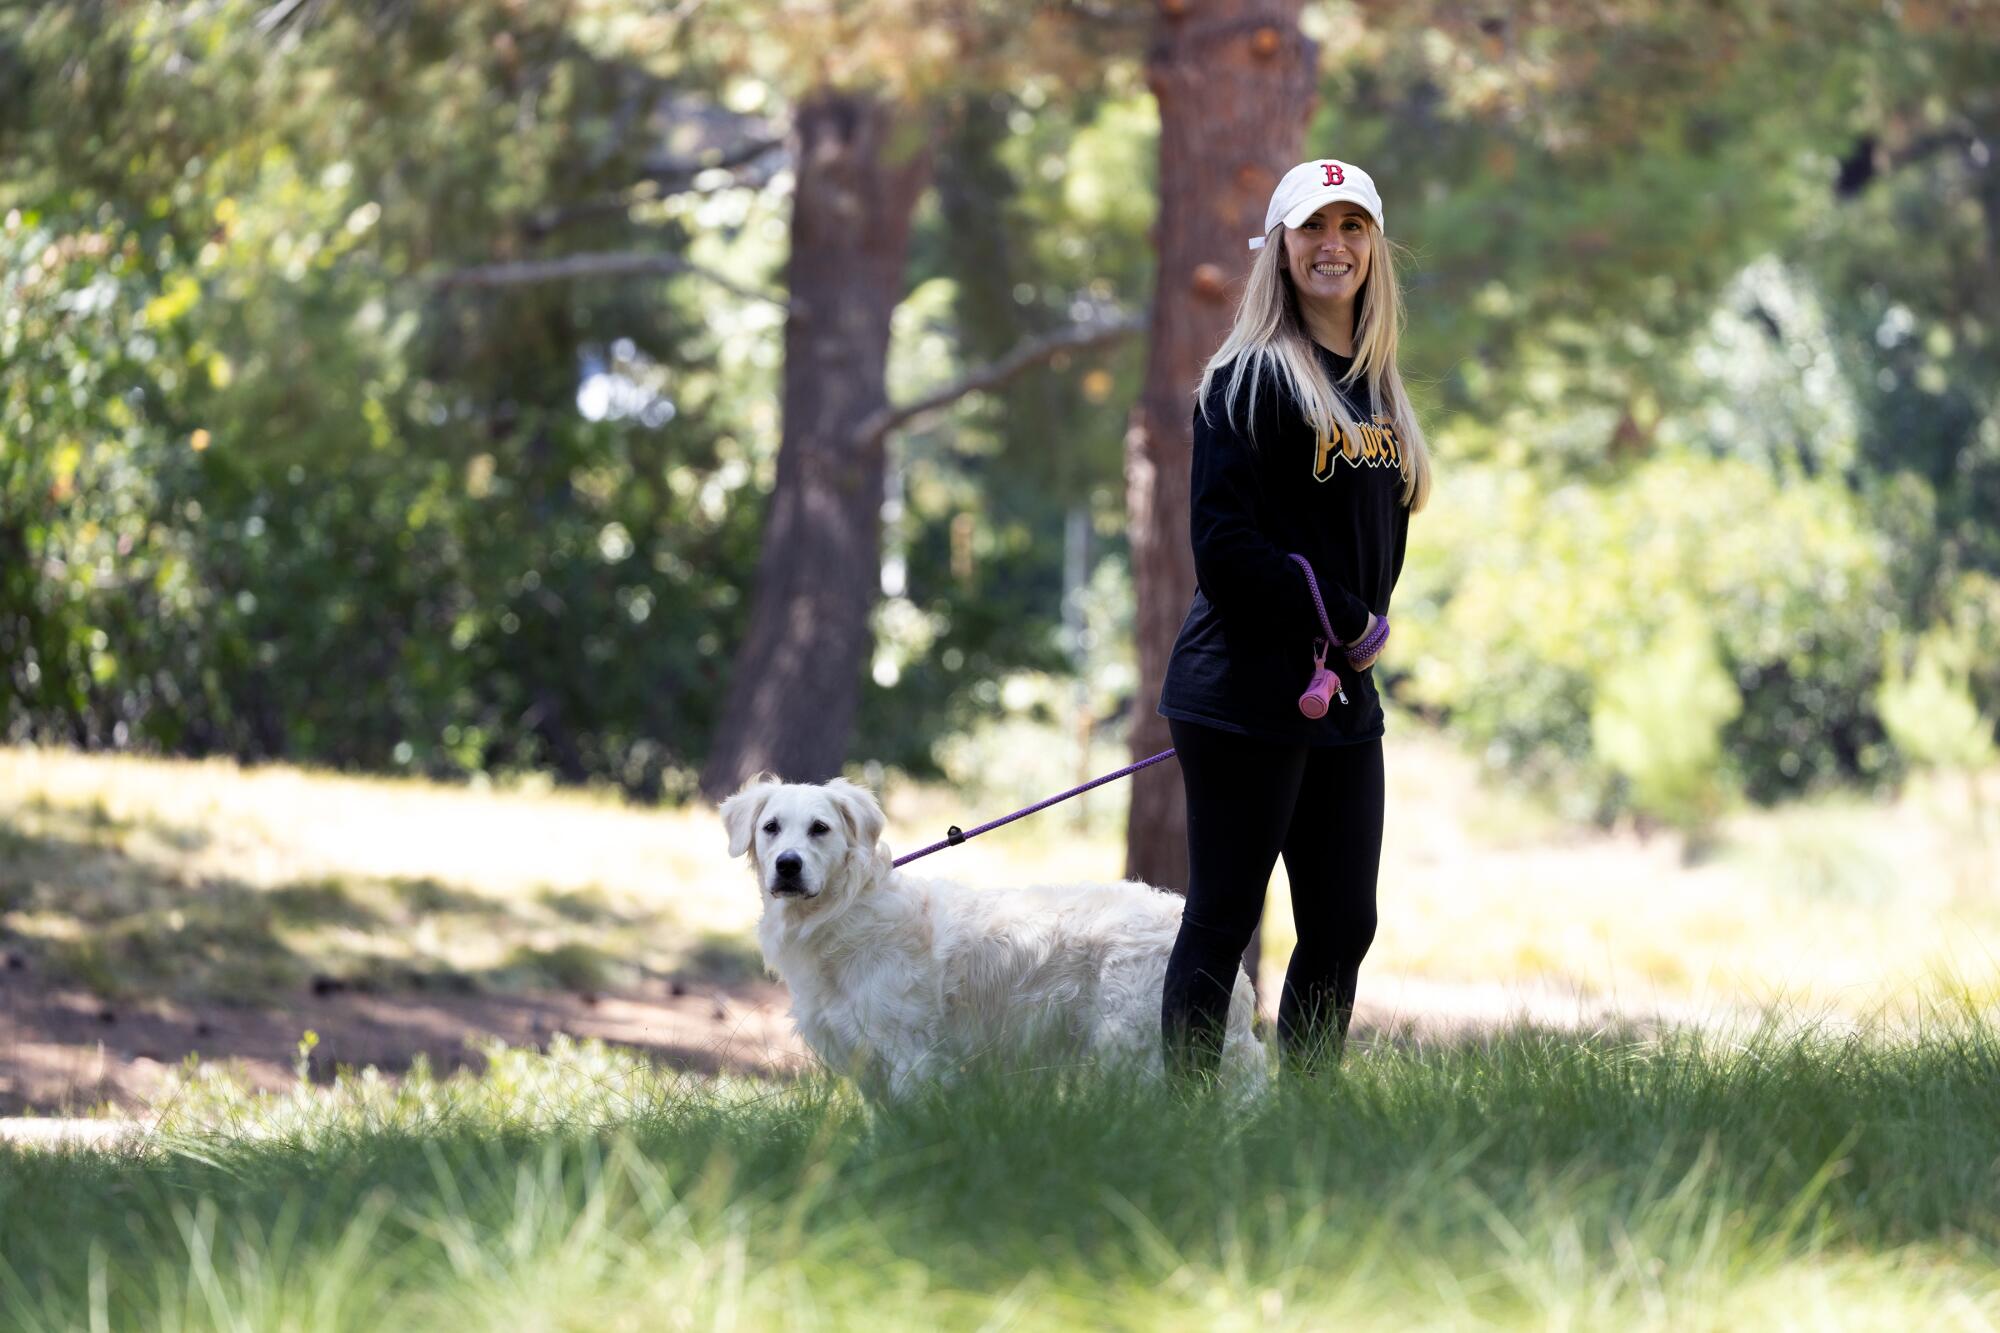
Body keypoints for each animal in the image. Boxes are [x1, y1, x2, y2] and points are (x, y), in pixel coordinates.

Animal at [716, 768, 1264, 1088]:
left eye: (820, 829)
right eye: (770, 828)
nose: (787, 866)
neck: (840, 913)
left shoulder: (910, 1054)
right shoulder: (863, 1058)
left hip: (1131, 1041)